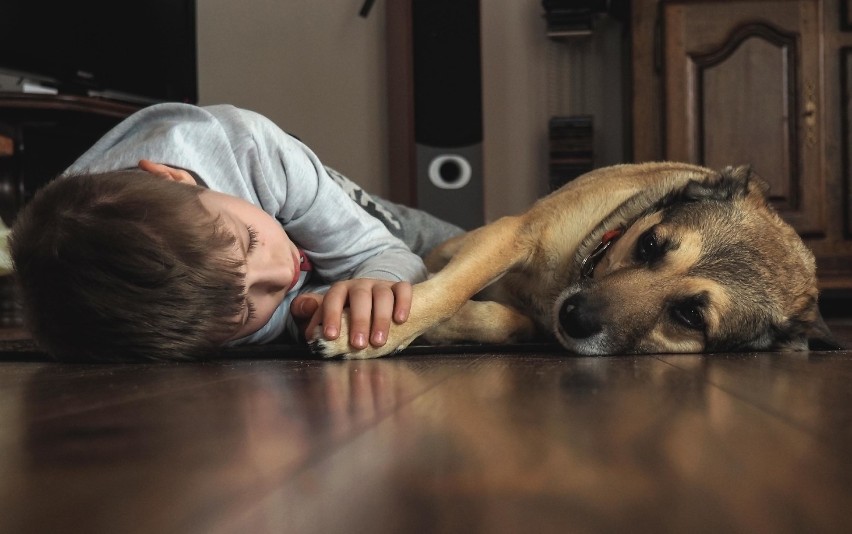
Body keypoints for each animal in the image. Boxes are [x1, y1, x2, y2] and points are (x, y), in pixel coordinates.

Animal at [310, 162, 836, 360]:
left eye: (689, 314)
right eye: (650, 244)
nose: (574, 316)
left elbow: (505, 321)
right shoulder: (513, 233)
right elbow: (450, 289)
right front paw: (374, 332)